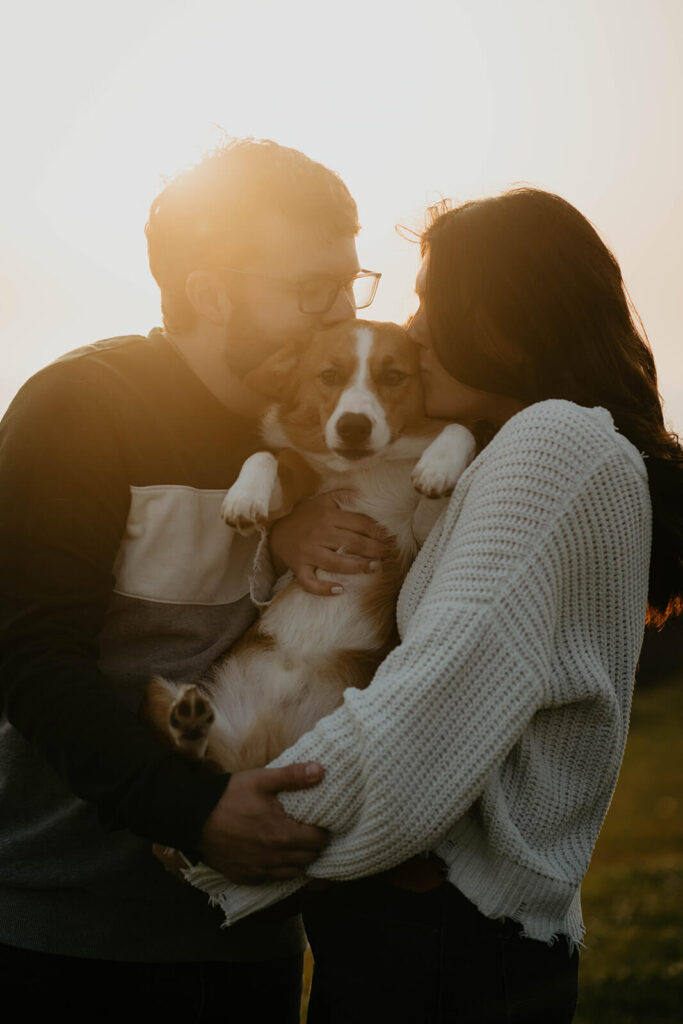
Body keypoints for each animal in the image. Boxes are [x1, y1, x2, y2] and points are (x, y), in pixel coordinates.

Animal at [143, 319, 475, 774]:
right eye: (329, 376)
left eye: (393, 376)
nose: (353, 426)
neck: (363, 468)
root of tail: (264, 746)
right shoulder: (293, 493)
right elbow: (265, 457)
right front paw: (243, 498)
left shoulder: (420, 530)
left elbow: (459, 431)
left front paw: (438, 465)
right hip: (156, 687)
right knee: (201, 753)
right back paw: (190, 722)